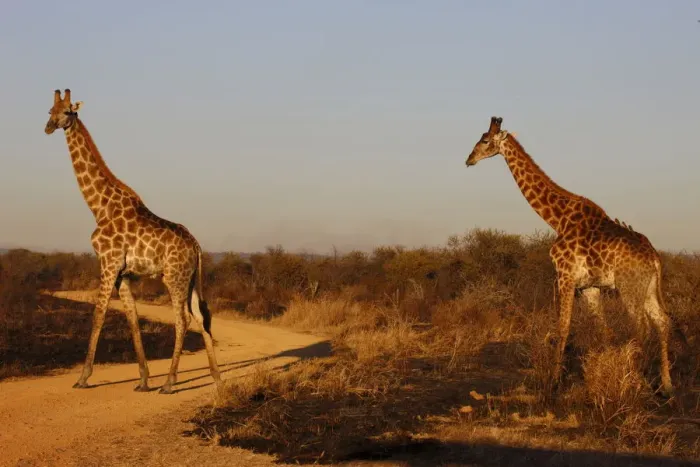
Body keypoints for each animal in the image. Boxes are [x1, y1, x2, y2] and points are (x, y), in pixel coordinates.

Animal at [44, 89, 221, 394]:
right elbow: (133, 320)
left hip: (174, 277)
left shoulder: (108, 263)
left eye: (67, 111)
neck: (99, 207)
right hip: (190, 280)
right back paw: (216, 377)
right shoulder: (123, 274)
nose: (48, 127)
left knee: (183, 319)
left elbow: (99, 316)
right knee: (200, 316)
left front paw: (83, 378)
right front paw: (143, 380)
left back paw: (170, 383)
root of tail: (197, 247)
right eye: (49, 111)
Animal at [464, 116, 675, 396]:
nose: (469, 159)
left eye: (485, 140)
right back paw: (667, 385)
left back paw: (640, 382)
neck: (558, 219)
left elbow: (562, 328)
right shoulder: (589, 287)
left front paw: (555, 382)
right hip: (648, 287)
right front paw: (598, 376)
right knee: (662, 322)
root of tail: (654, 258)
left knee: (642, 327)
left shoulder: (564, 276)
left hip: (630, 287)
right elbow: (603, 331)